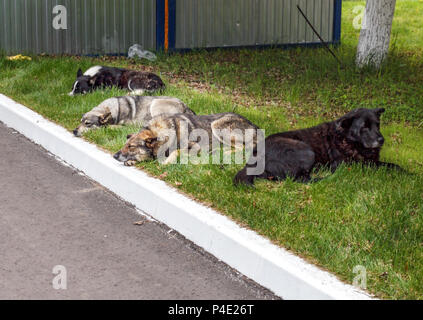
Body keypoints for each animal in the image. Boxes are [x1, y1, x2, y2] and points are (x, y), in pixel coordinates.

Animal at [112, 112, 260, 166]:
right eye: (125, 145)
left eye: (131, 146)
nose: (114, 156)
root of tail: (255, 126)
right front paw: (133, 161)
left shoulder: (194, 146)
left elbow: (175, 151)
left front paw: (167, 162)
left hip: (217, 125)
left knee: (244, 147)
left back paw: (224, 153)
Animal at [235, 109, 400, 186]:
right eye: (364, 127)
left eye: (377, 125)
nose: (381, 140)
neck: (348, 139)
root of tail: (254, 157)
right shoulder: (348, 165)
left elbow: (393, 165)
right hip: (307, 151)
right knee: (298, 178)